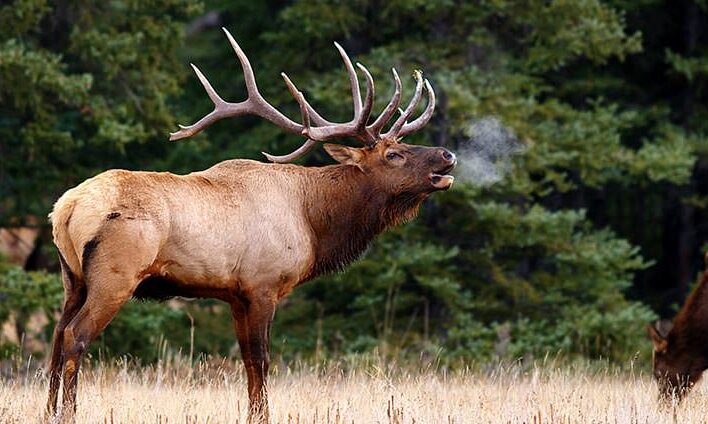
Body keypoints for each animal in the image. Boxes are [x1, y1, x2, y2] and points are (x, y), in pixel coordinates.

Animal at [44, 28, 456, 422]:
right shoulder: (263, 284)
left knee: (57, 335)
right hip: (115, 276)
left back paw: (48, 411)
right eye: (394, 154)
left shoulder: (235, 294)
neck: (313, 221)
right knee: (76, 336)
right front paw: (262, 415)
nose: (448, 155)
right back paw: (70, 413)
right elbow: (262, 359)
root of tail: (66, 207)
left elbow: (245, 360)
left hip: (72, 278)